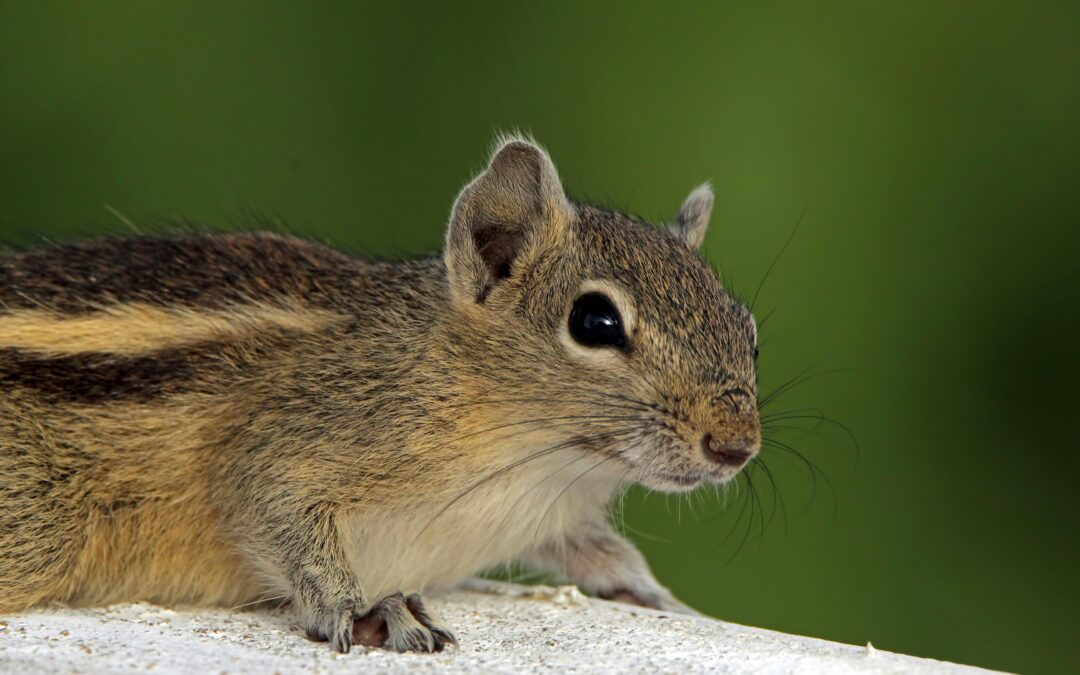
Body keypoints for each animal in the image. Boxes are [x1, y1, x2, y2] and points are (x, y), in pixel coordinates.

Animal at [0, 136, 761, 654]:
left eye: (748, 328)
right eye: (594, 322)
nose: (736, 447)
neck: (537, 457)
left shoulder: (553, 515)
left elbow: (598, 554)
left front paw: (656, 595)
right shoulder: (295, 436)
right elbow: (273, 506)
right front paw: (366, 608)